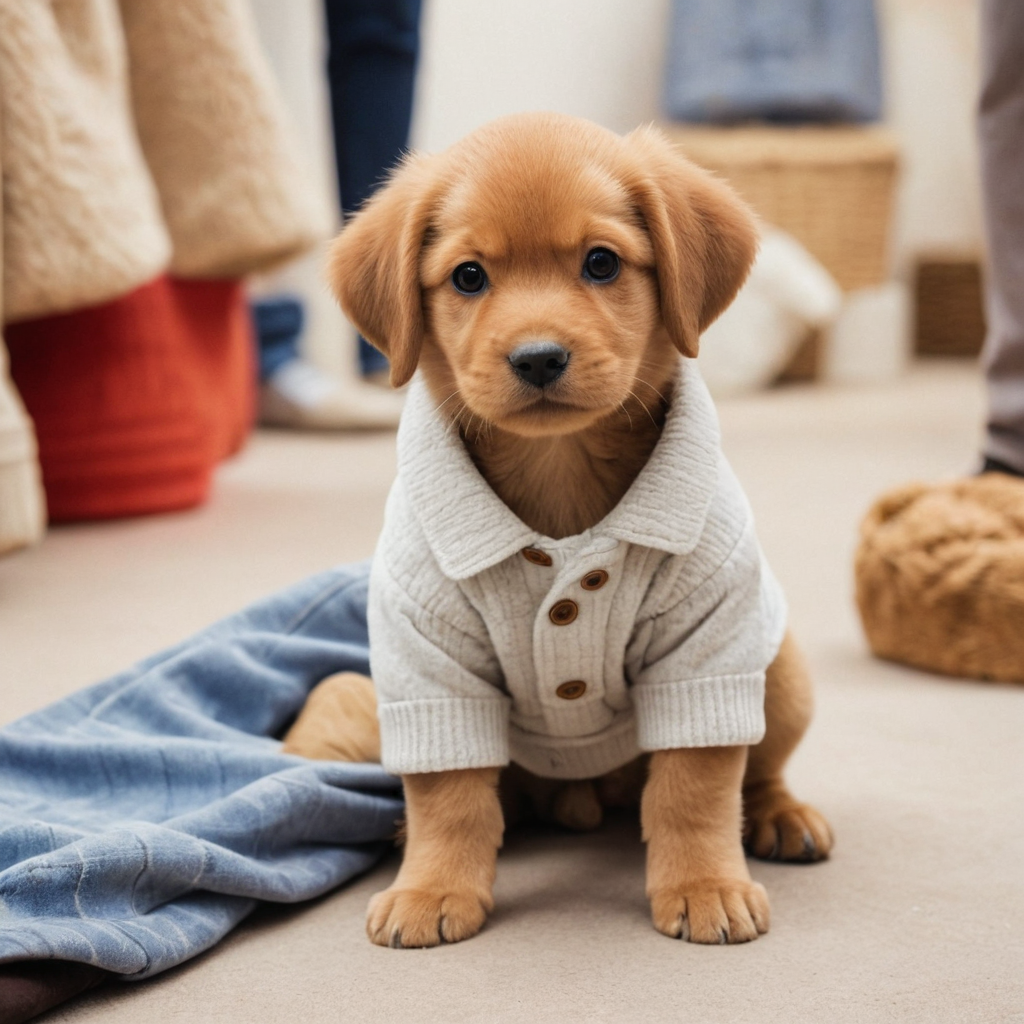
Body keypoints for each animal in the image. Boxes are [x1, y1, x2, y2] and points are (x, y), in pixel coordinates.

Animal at [305, 108, 831, 946]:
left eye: (601, 262)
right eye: (468, 277)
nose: (538, 358)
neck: (559, 485)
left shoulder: (705, 654)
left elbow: (695, 787)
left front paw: (704, 884)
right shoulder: (428, 662)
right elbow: (450, 797)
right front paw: (433, 886)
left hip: (777, 672)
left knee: (758, 771)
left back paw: (782, 816)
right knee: (490, 794)